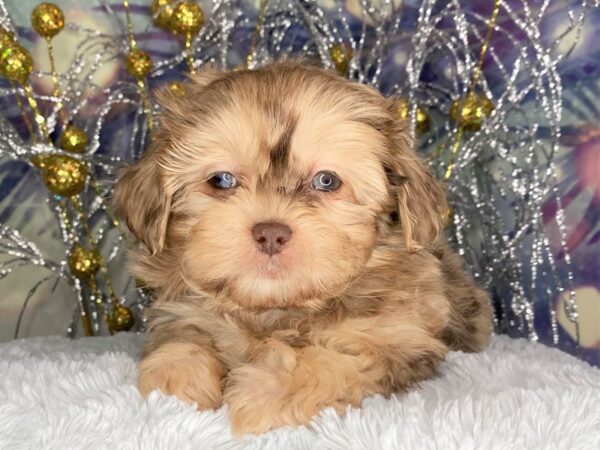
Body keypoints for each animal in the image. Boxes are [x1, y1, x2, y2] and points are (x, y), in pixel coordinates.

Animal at [113, 61, 492, 434]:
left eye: (326, 181)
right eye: (221, 180)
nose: (270, 233)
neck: (276, 310)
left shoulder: (397, 341)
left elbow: (335, 364)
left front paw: (262, 395)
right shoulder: (180, 313)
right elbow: (182, 339)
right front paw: (174, 382)